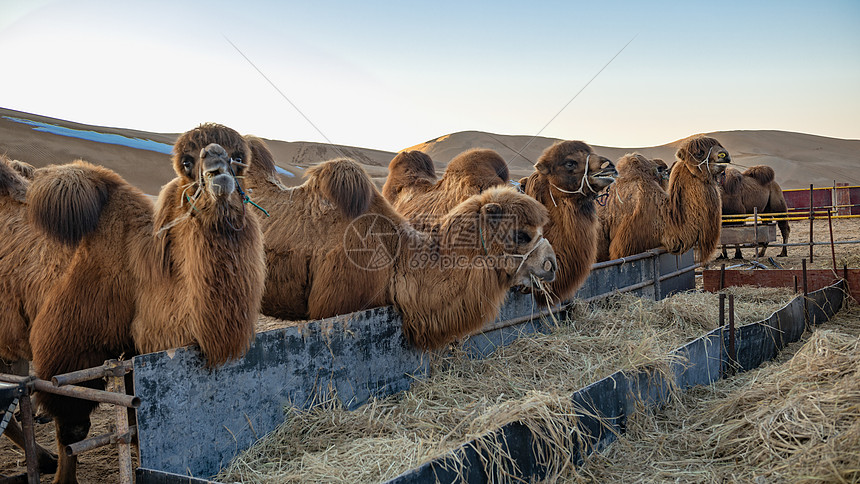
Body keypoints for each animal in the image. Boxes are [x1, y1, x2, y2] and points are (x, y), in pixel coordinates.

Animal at [0, 125, 268, 484]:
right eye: (186, 163)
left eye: (239, 159)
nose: (216, 167)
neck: (134, 271)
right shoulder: (67, 351)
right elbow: (73, 430)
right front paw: (63, 478)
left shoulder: (133, 354)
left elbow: (136, 421)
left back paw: (41, 459)